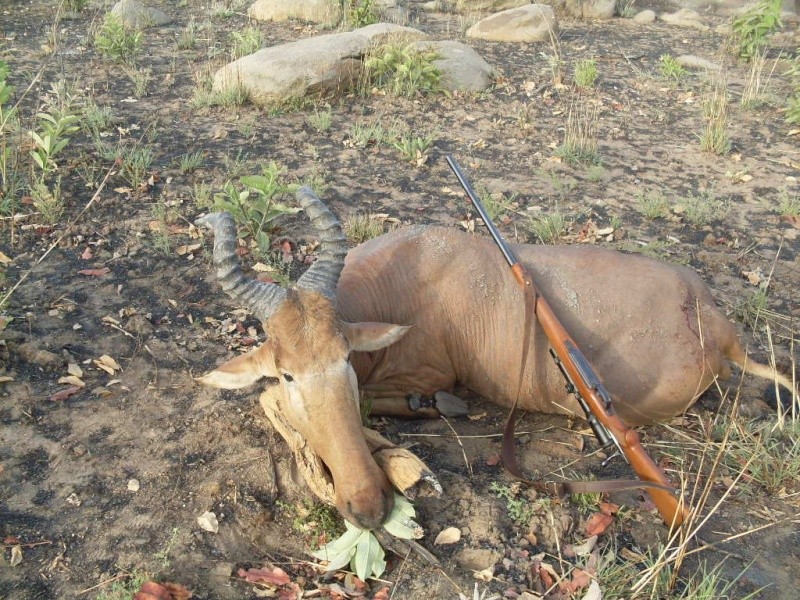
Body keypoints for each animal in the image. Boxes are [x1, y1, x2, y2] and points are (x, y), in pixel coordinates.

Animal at [197, 189, 796, 528]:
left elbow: (397, 399)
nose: (367, 507)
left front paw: (438, 415)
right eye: (287, 372)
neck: (411, 269)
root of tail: (714, 323)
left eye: (345, 358)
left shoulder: (430, 372)